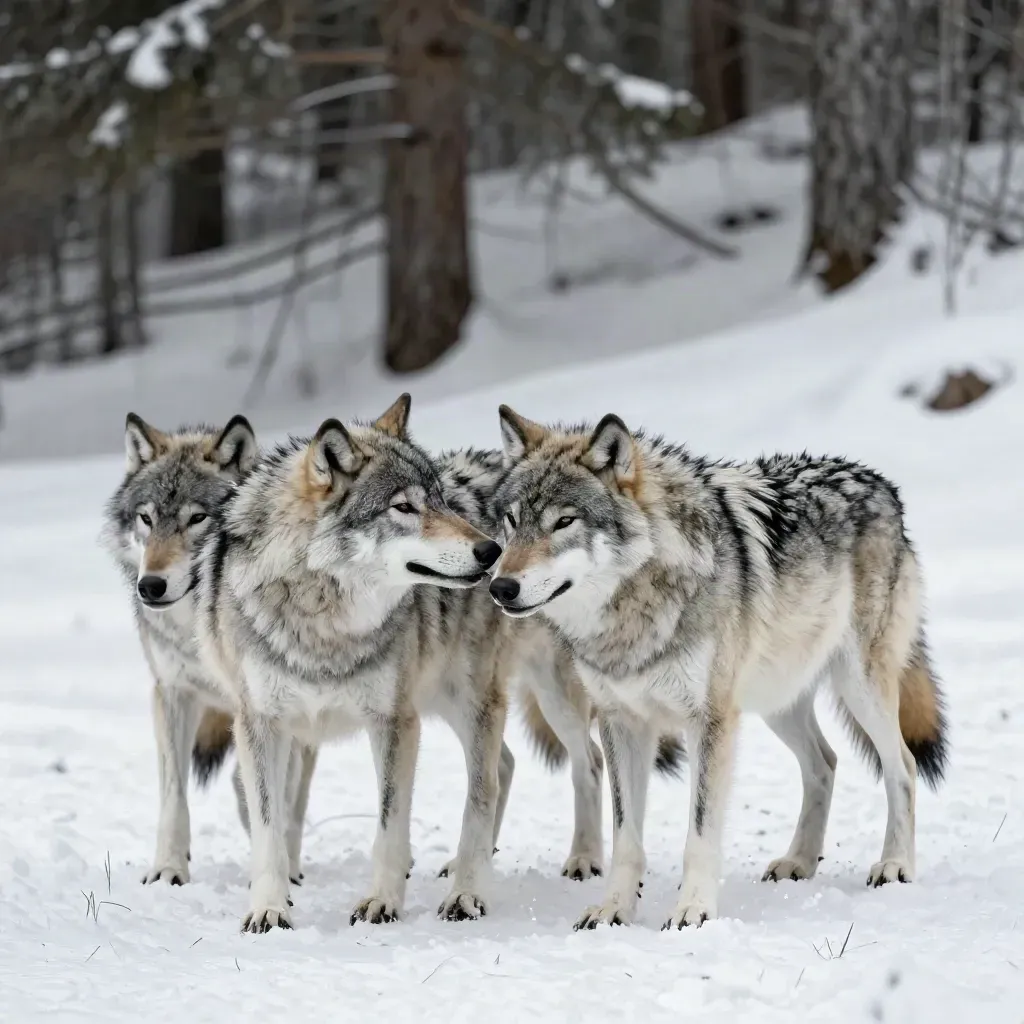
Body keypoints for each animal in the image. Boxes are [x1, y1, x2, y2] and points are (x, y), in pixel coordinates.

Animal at [101, 413, 317, 887]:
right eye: (146, 518)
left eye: (197, 518)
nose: (151, 586)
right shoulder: (172, 691)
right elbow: (173, 794)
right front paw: (168, 868)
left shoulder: (274, 703)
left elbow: (271, 795)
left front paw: (275, 870)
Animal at [488, 405, 948, 931]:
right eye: (511, 520)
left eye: (564, 521)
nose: (500, 587)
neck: (636, 609)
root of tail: (880, 483)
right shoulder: (621, 723)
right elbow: (626, 836)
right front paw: (613, 909)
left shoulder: (708, 721)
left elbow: (700, 832)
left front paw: (693, 910)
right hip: (776, 703)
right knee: (825, 763)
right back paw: (799, 861)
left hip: (859, 688)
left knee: (903, 766)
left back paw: (894, 864)